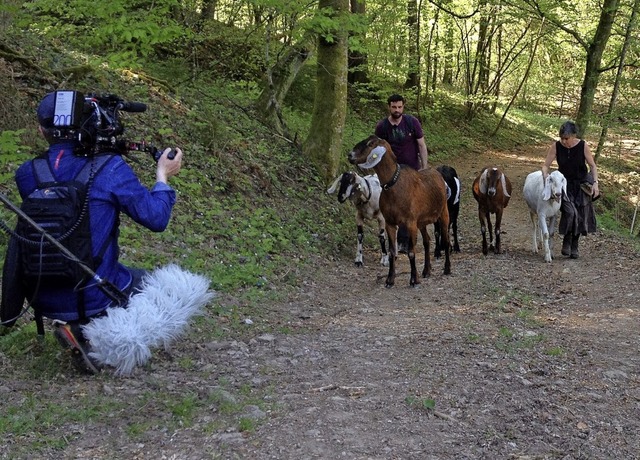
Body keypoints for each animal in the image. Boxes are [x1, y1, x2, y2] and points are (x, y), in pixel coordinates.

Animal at [348, 135, 448, 288]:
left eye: (370, 144)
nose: (350, 155)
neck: (394, 186)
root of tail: (437, 173)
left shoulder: (410, 223)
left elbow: (411, 252)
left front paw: (413, 280)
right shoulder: (389, 222)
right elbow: (391, 252)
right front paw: (390, 280)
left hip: (443, 212)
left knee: (446, 238)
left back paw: (447, 269)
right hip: (422, 222)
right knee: (426, 241)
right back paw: (426, 271)